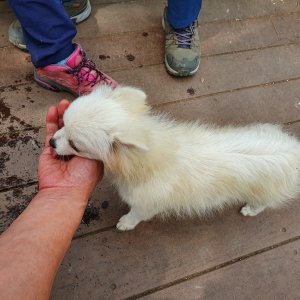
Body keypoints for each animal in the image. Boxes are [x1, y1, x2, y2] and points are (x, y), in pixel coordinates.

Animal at [50, 85, 300, 231]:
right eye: (63, 123)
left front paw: (125, 224)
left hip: (263, 191)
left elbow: (135, 215)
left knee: (263, 203)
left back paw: (250, 209)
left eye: (75, 145)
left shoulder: (145, 204)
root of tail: (294, 151)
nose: (51, 142)